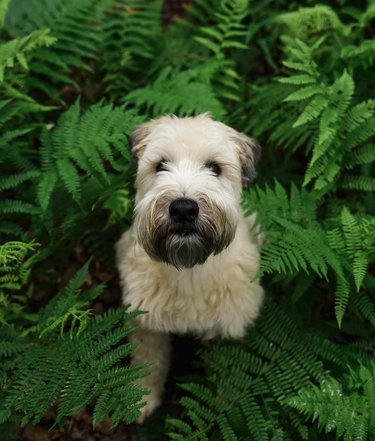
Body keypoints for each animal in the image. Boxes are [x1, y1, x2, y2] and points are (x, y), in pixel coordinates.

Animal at [117, 112, 264, 420]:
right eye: (160, 165)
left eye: (215, 167)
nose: (183, 209)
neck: (190, 272)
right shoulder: (147, 321)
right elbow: (149, 361)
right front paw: (143, 398)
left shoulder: (225, 328)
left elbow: (226, 373)